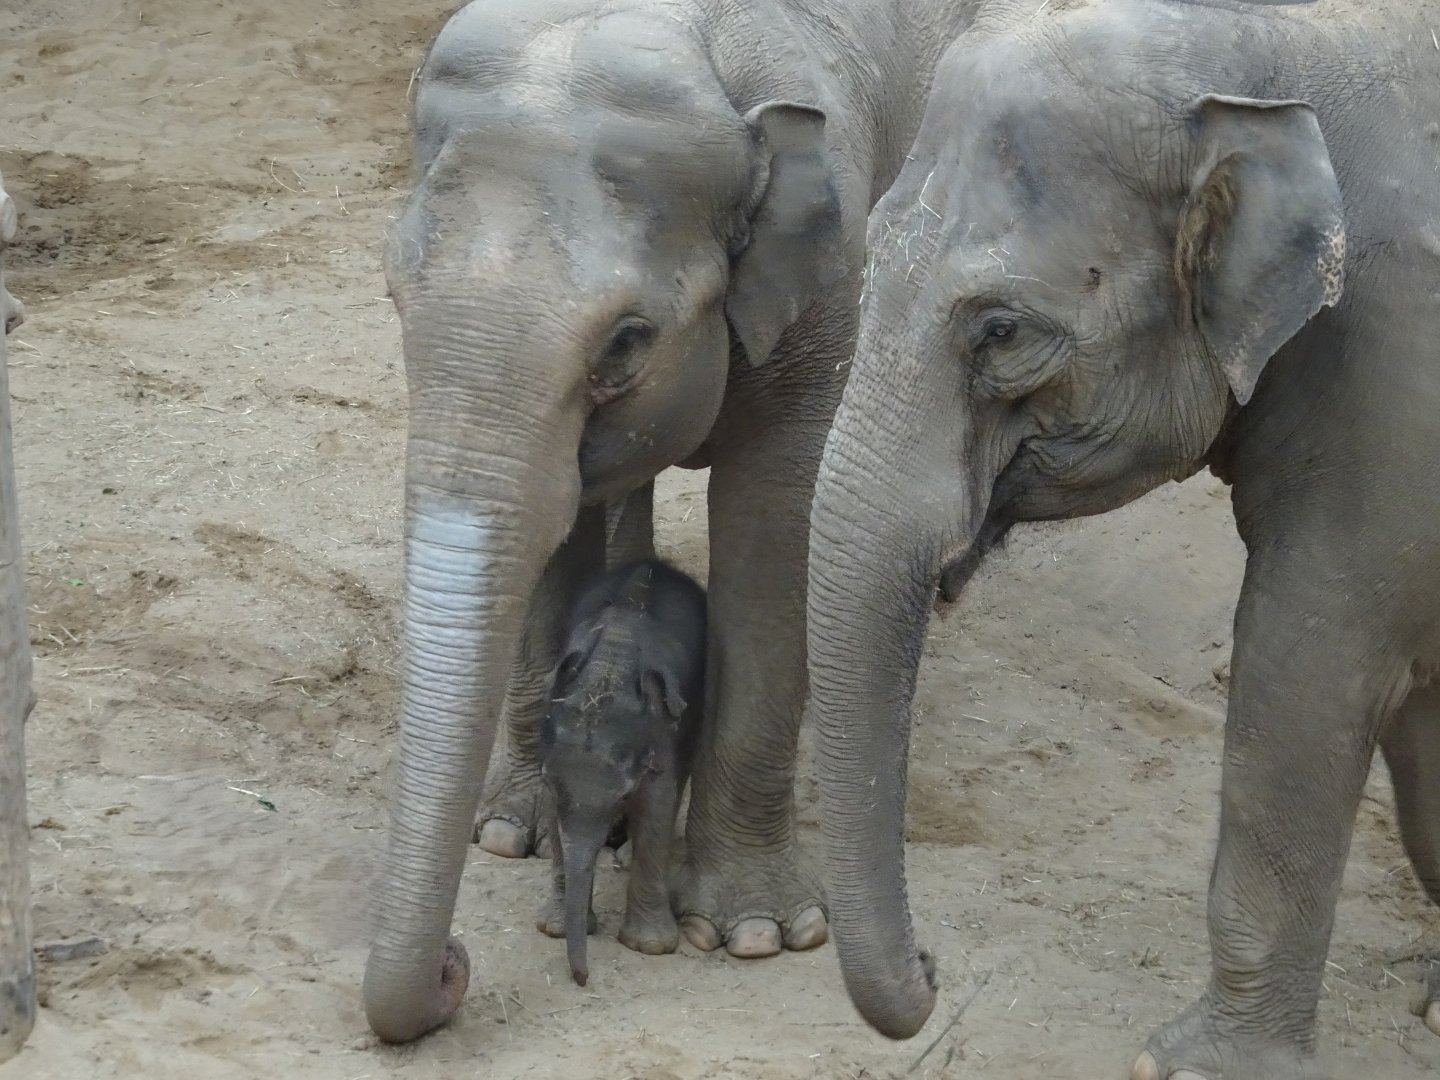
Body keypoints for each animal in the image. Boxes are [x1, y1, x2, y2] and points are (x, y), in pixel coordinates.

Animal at [535, 558, 705, 988]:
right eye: (552, 785)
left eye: (623, 794)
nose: (582, 979)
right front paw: (555, 928)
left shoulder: (661, 730)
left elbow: (658, 803)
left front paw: (650, 947)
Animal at [804, 0, 1440, 1077]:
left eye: (1003, 331)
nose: (931, 967)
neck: (1263, 52)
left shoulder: (1393, 363)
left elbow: (1308, 660)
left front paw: (1193, 1065)